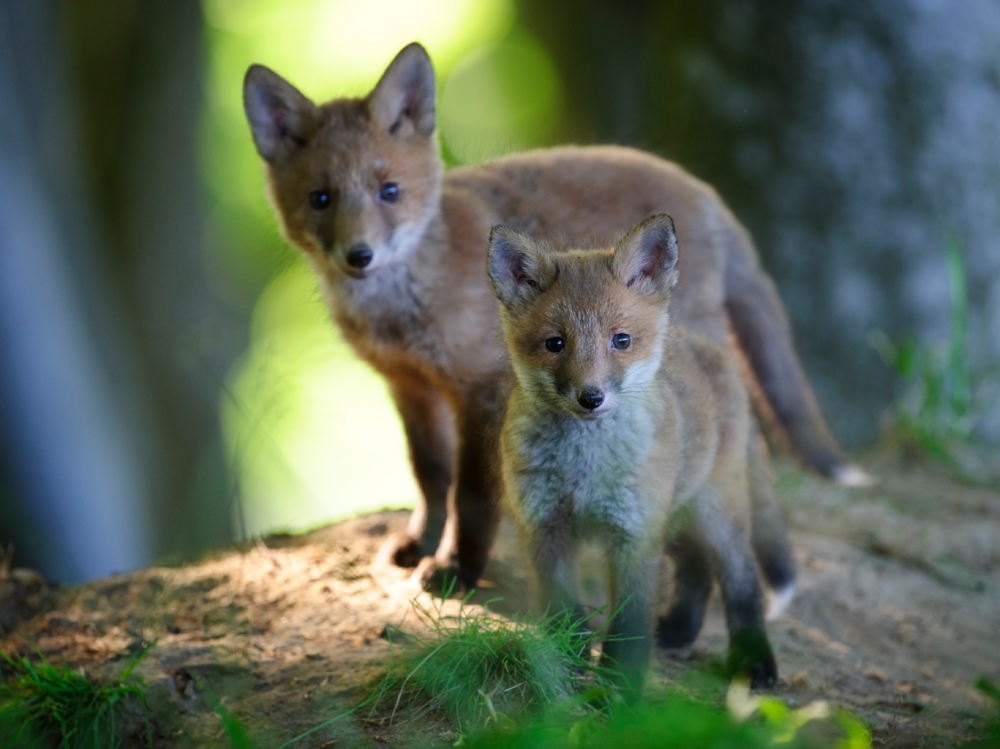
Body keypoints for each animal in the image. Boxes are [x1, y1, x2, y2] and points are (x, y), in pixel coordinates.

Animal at [242, 41, 863, 589]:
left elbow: (471, 492)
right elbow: (430, 476)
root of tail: (708, 193)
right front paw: (421, 544)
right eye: (320, 199)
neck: (408, 305)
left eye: (388, 191)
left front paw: (455, 568)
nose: (359, 257)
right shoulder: (409, 387)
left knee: (744, 438)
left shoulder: (483, 389)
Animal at [490, 214, 777, 696]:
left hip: (715, 513)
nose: (591, 398)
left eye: (620, 340)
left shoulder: (634, 534)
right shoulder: (544, 526)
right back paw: (679, 629)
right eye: (555, 344)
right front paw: (568, 667)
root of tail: (706, 343)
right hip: (673, 519)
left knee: (741, 583)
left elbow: (628, 626)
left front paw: (618, 693)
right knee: (697, 568)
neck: (583, 471)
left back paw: (756, 661)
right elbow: (564, 613)